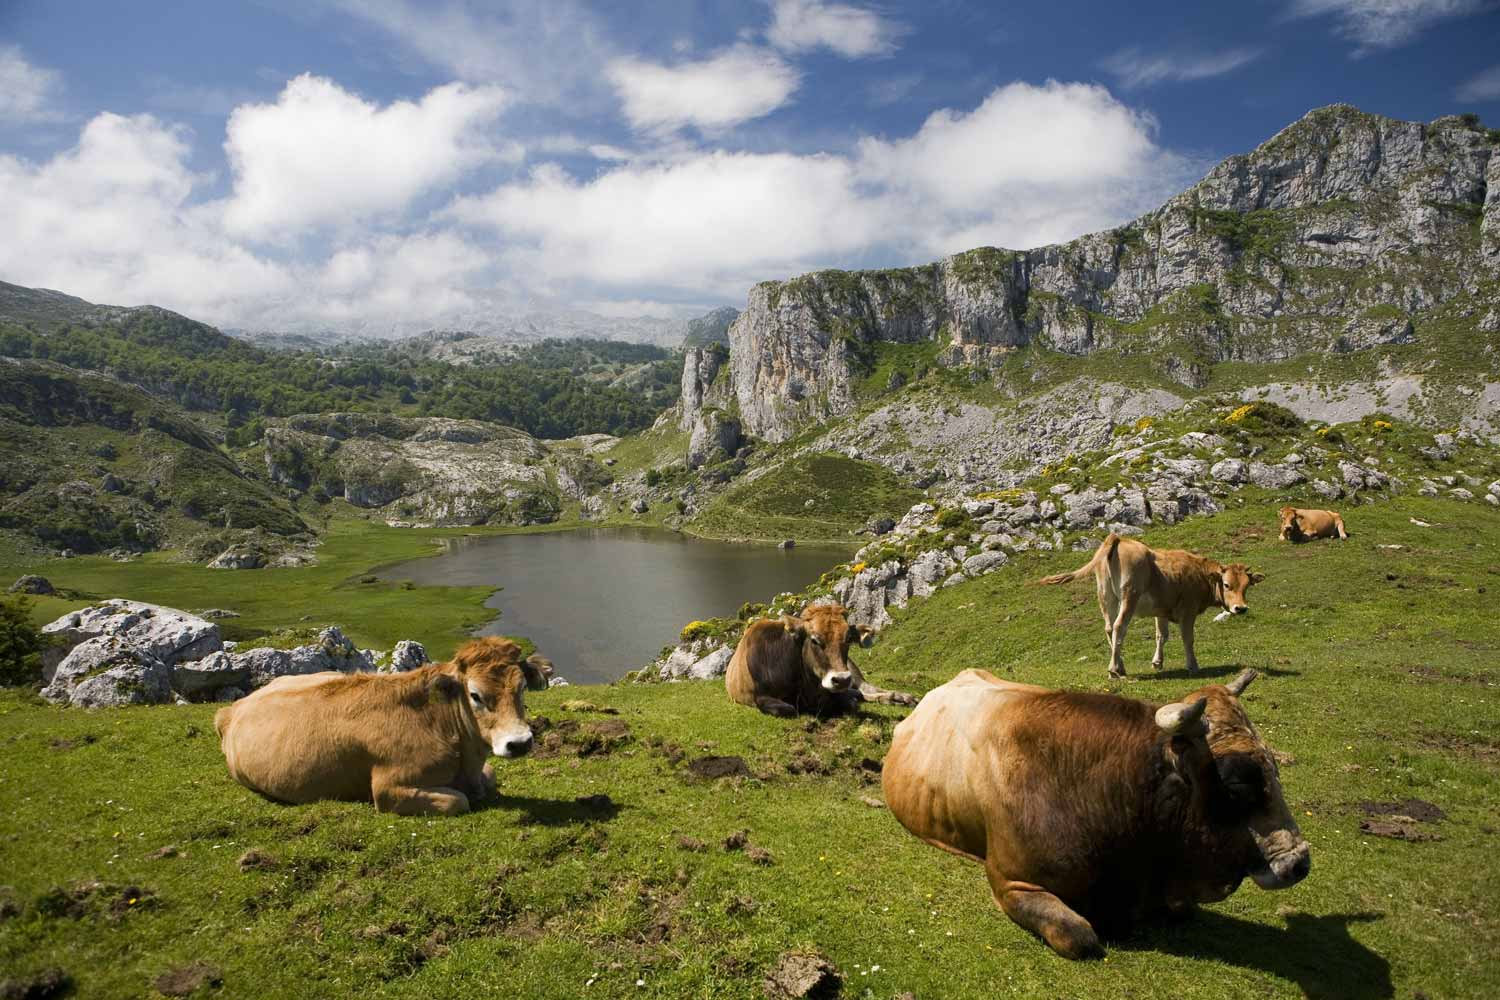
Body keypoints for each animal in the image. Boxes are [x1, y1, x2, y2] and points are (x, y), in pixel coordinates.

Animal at [217, 638, 552, 815]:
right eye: (475, 695)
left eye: (522, 688)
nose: (519, 743)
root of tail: (231, 709)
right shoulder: (388, 789)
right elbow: (459, 800)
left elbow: (488, 778)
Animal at [723, 602, 912, 719]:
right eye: (814, 640)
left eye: (848, 639)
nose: (841, 679)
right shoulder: (760, 696)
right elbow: (788, 709)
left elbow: (848, 700)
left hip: (853, 670)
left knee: (866, 688)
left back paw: (901, 696)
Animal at [882, 668, 1308, 959]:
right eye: (1237, 787)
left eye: (1275, 767)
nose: (1299, 862)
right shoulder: (1010, 882)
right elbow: (1082, 938)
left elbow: (1183, 909)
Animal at [1032, 530, 1266, 680]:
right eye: (1226, 584)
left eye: (1246, 586)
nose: (1240, 608)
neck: (1199, 573)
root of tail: (1119, 539)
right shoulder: (1188, 611)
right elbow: (1188, 639)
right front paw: (1193, 666)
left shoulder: (1161, 610)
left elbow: (1161, 635)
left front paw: (1157, 663)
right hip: (1129, 596)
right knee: (1119, 627)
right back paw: (1114, 670)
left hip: (1106, 596)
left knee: (1109, 628)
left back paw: (1120, 666)